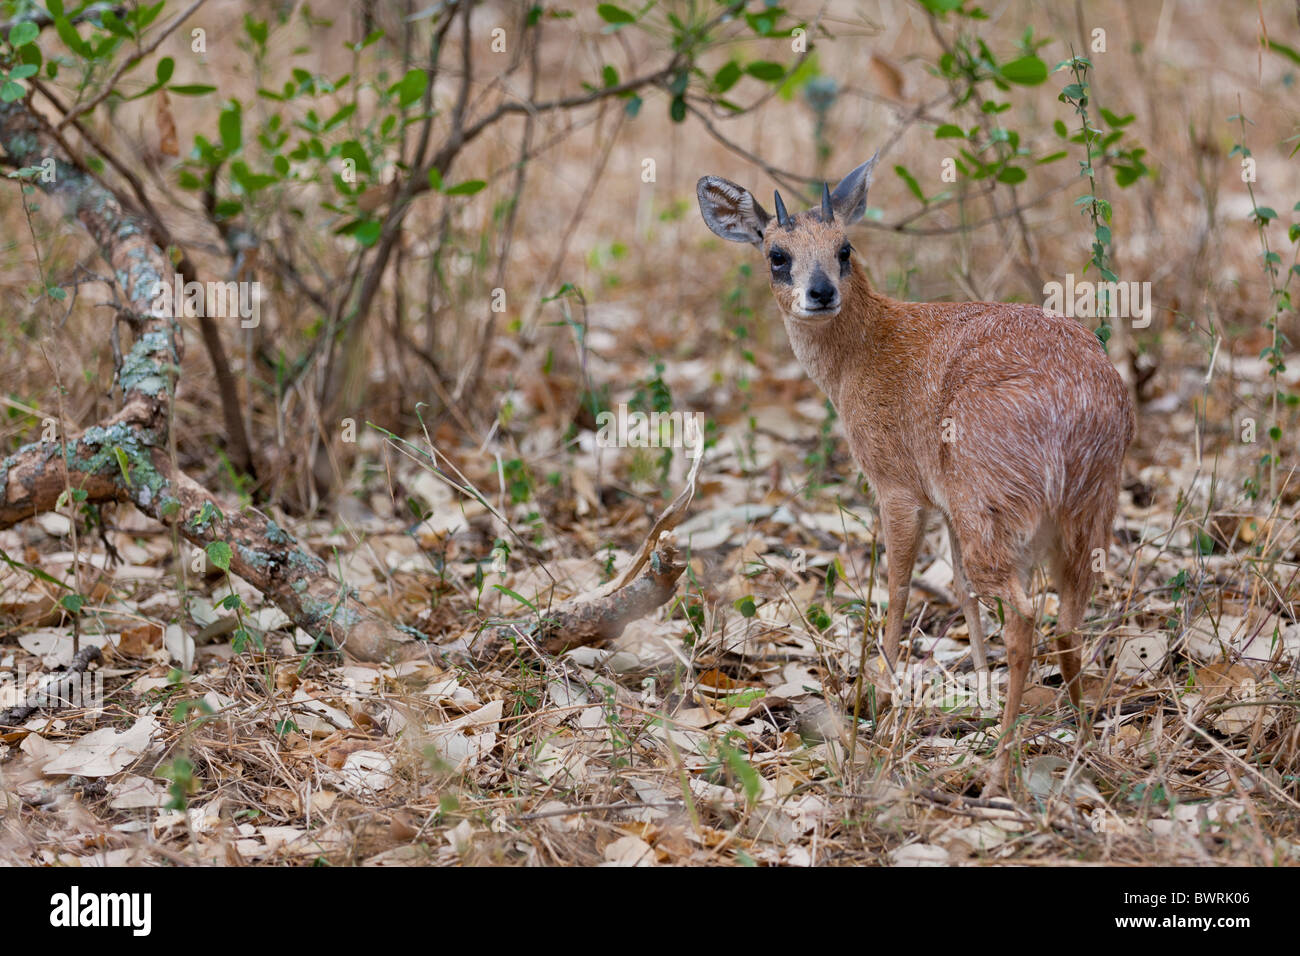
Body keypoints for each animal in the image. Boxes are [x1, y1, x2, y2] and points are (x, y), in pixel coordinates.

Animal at [696, 153, 1133, 790]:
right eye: (776, 254)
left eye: (845, 247)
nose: (820, 292)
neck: (863, 355)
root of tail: (1080, 408)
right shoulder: (944, 500)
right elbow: (962, 590)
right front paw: (977, 691)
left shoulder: (897, 486)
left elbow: (898, 590)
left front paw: (878, 705)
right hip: (1080, 512)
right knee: (1066, 620)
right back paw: (1080, 741)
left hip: (999, 502)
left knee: (1026, 615)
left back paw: (998, 771)